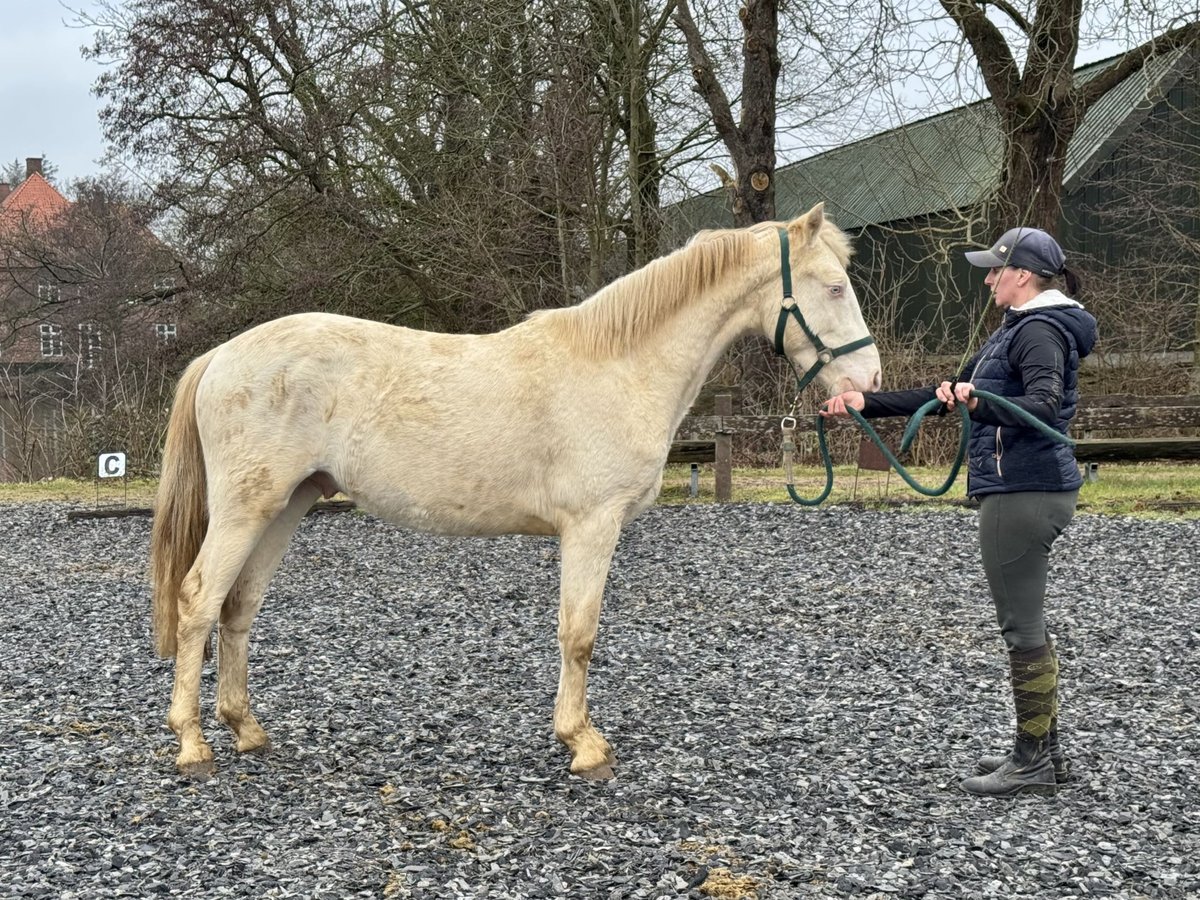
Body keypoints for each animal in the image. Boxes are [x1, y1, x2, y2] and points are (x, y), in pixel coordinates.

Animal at [150, 204, 883, 782]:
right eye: (833, 287)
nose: (868, 383)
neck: (619, 364)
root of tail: (220, 356)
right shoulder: (592, 524)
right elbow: (578, 633)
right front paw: (584, 745)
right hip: (246, 509)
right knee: (197, 601)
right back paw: (193, 745)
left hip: (286, 505)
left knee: (238, 608)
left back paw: (247, 730)